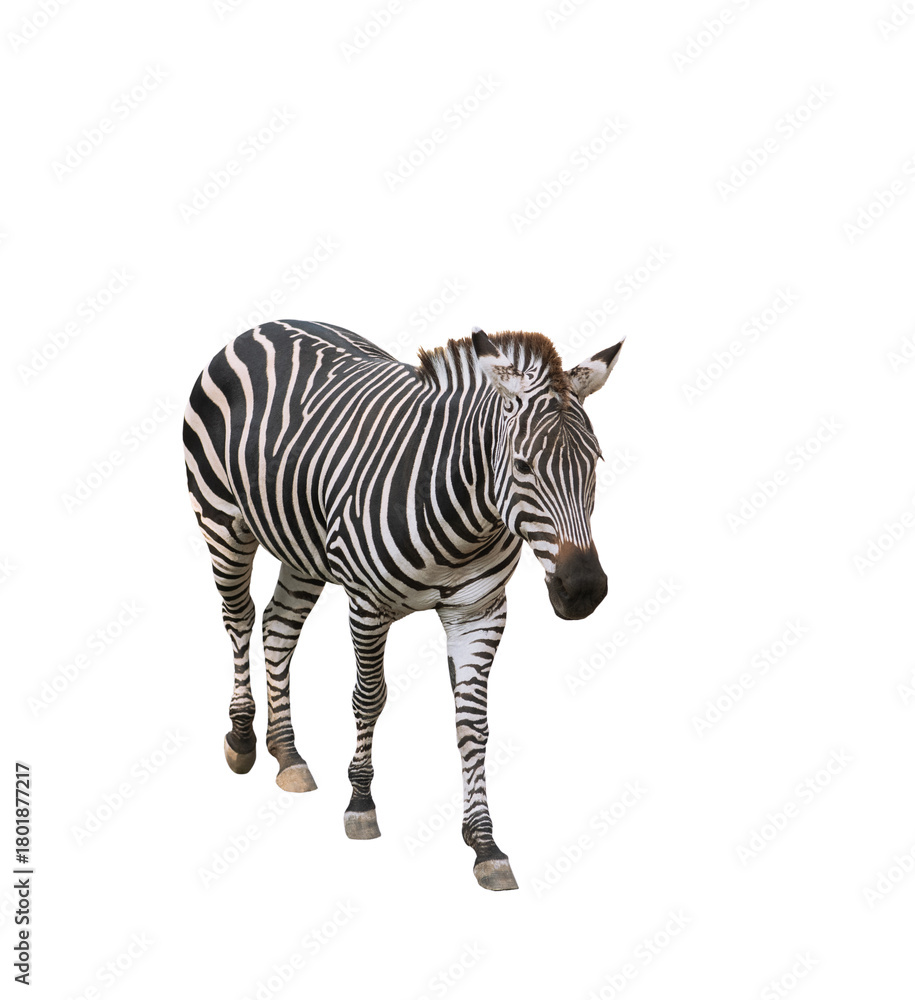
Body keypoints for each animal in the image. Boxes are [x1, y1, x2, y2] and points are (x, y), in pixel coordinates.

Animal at [183, 320, 623, 890]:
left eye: (594, 463)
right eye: (524, 465)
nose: (584, 589)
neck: (467, 518)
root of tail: (263, 326)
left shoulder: (479, 613)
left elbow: (473, 724)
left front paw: (485, 843)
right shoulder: (367, 604)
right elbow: (369, 699)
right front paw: (361, 804)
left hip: (302, 546)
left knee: (278, 627)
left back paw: (288, 754)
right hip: (222, 521)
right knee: (238, 616)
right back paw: (241, 738)